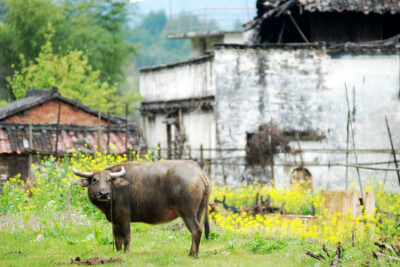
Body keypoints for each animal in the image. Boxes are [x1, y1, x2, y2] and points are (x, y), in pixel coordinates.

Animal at [72, 160, 211, 258]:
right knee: (195, 231)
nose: (104, 193)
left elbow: (126, 236)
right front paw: (117, 253)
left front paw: (126, 253)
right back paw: (191, 253)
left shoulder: (124, 217)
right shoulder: (115, 220)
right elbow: (117, 238)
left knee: (197, 230)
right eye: (94, 180)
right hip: (199, 212)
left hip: (187, 213)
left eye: (109, 180)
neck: (116, 191)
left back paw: (194, 255)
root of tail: (199, 173)